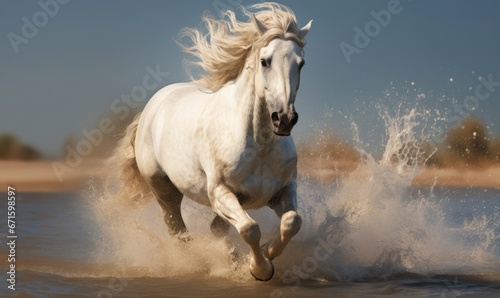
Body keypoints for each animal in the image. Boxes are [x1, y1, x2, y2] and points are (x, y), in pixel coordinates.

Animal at [115, 2, 314, 282]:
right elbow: (250, 228)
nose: (284, 119)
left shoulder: (282, 191)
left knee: (216, 229)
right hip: (164, 190)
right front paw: (260, 270)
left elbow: (292, 223)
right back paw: (193, 263)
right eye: (265, 61)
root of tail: (150, 108)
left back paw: (230, 262)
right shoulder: (221, 192)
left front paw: (266, 254)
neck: (259, 145)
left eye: (301, 63)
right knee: (177, 229)